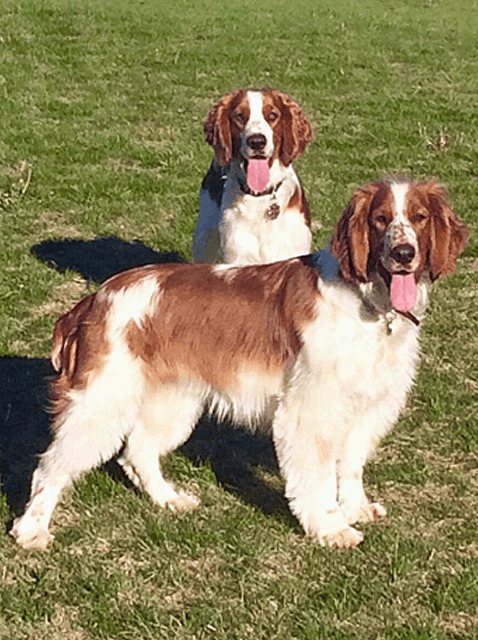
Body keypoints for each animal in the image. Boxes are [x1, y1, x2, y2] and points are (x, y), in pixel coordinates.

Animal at [12, 180, 466, 552]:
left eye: (420, 218)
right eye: (380, 219)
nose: (403, 253)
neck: (368, 304)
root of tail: (94, 299)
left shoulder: (367, 408)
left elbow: (350, 467)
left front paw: (355, 508)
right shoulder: (311, 412)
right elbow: (319, 478)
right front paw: (331, 528)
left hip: (172, 402)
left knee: (136, 453)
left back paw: (170, 499)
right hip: (101, 401)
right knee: (51, 466)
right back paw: (32, 531)